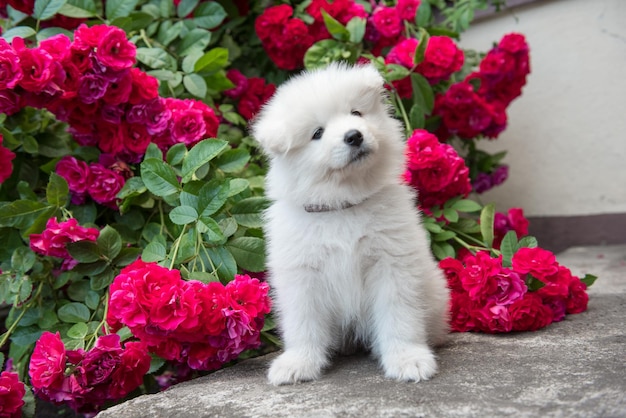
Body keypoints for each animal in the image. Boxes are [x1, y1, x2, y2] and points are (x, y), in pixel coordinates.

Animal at [251, 62, 446, 386]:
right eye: (317, 133)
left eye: (356, 113)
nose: (354, 136)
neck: (342, 205)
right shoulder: (302, 274)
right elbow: (303, 323)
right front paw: (298, 363)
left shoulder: (391, 264)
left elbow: (399, 315)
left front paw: (408, 359)